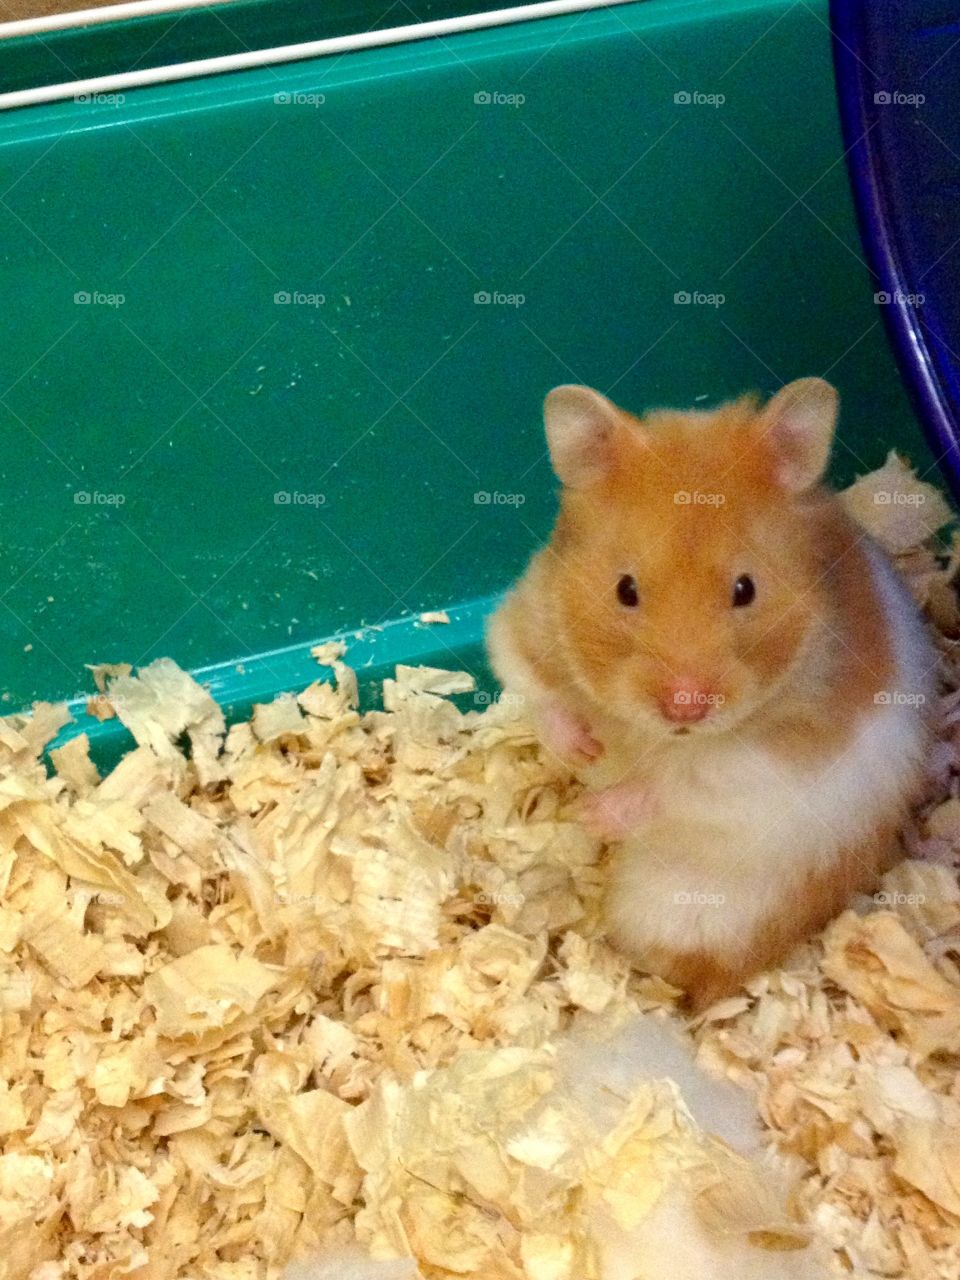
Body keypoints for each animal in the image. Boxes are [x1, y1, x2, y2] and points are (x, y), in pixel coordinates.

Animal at [487, 379, 937, 1010]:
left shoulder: (763, 771)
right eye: (625, 589)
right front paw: (583, 752)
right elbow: (536, 691)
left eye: (745, 589)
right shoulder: (526, 619)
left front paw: (594, 813)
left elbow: (681, 786)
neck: (659, 735)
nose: (685, 706)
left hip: (694, 908)